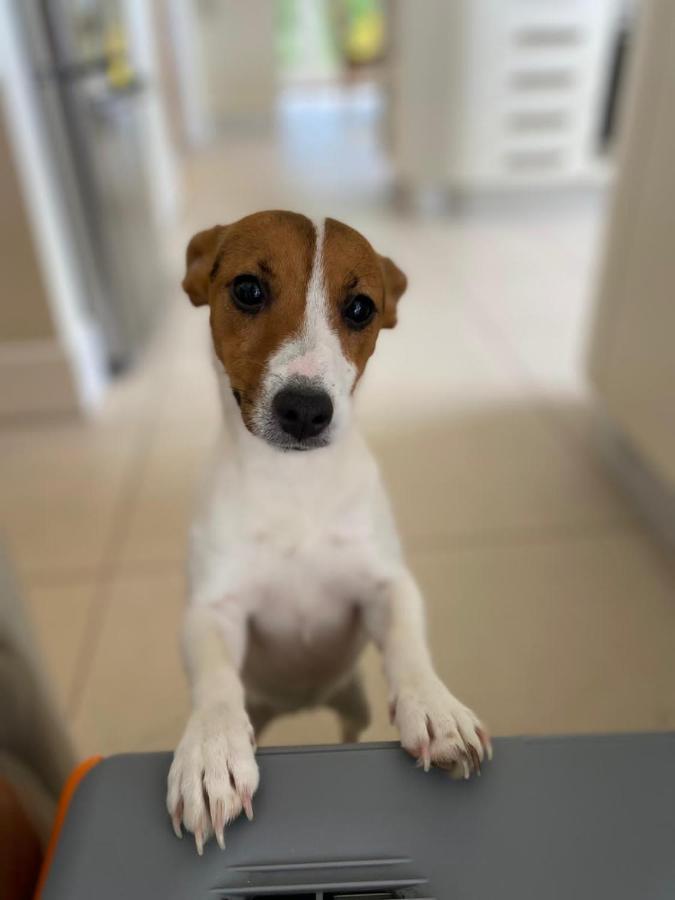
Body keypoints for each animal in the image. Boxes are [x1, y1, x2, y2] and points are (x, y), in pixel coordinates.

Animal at [165, 209, 492, 852]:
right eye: (247, 290)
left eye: (361, 307)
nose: (305, 409)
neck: (295, 487)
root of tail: (305, 703)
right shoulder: (213, 610)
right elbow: (215, 682)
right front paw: (210, 752)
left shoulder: (387, 585)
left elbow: (409, 646)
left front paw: (435, 706)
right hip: (265, 704)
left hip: (352, 702)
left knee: (350, 728)